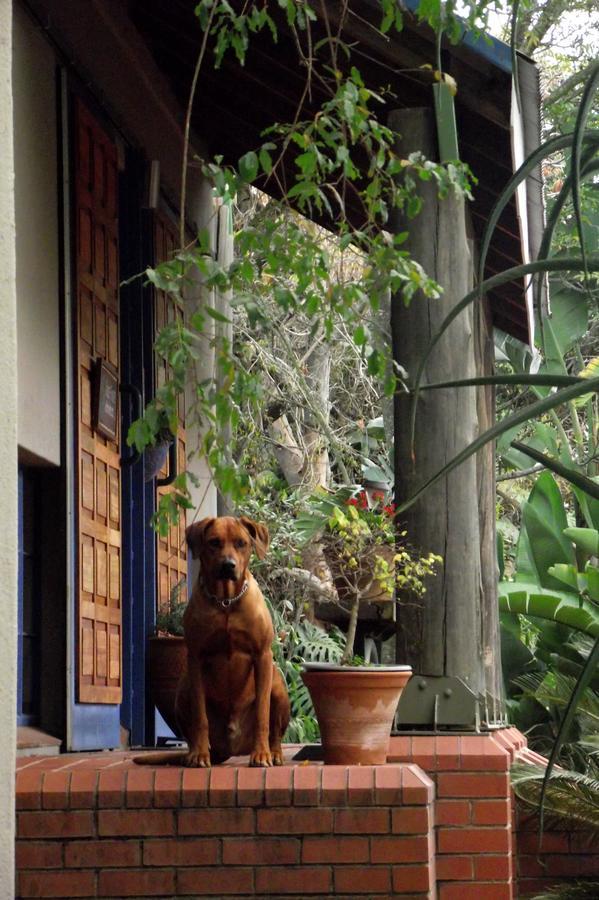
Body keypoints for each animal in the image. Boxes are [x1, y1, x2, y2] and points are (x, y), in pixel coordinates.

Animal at [140, 512, 290, 768]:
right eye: (214, 542)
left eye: (241, 543)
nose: (228, 565)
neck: (226, 602)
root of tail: (230, 749)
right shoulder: (196, 657)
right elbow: (200, 717)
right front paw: (200, 755)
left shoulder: (262, 655)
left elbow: (262, 713)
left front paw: (261, 754)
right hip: (183, 690)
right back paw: (193, 753)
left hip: (278, 685)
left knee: (275, 730)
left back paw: (274, 753)